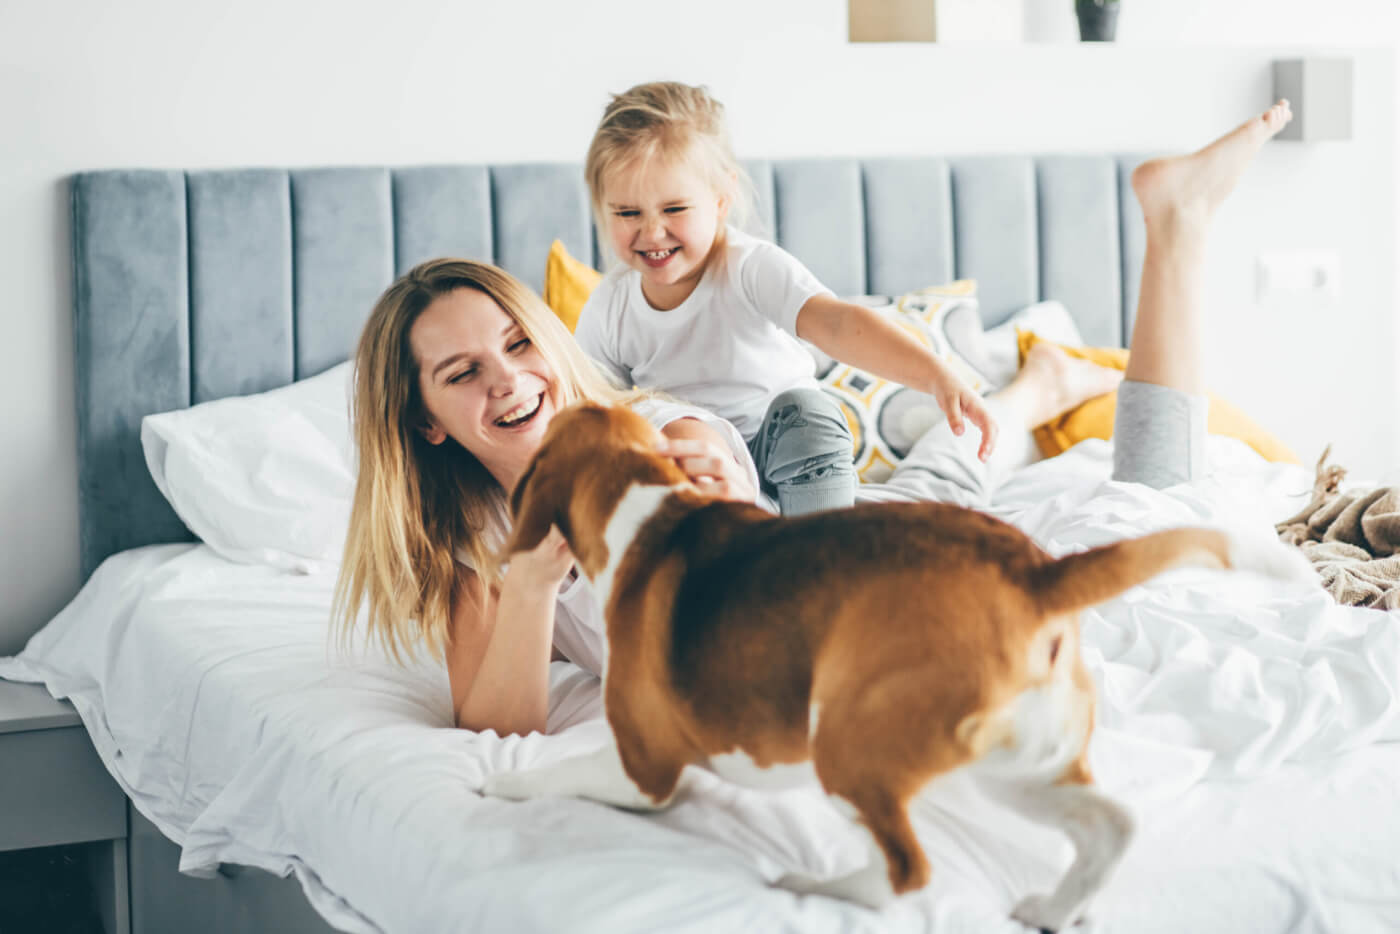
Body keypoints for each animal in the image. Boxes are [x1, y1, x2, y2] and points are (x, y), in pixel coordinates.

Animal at [487, 403, 1316, 929]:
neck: (646, 507)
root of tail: (1034, 575)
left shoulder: (644, 771)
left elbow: (556, 774)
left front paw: (502, 783)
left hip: (847, 746)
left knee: (905, 873)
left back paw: (819, 882)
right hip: (1010, 767)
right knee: (1110, 826)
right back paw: (1055, 910)